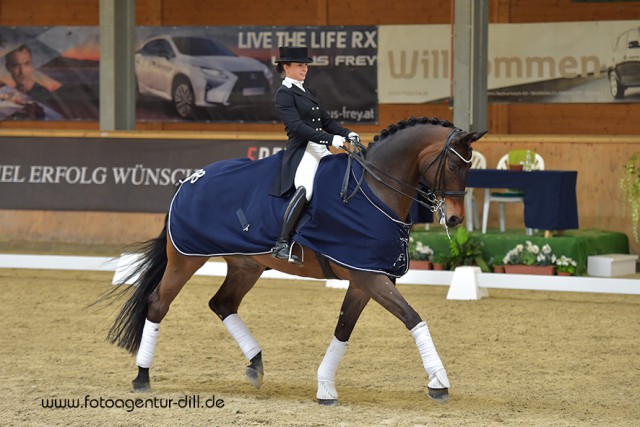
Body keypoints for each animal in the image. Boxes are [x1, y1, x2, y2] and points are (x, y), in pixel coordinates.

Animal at [104, 116, 484, 404]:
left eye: (469, 168)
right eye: (453, 164)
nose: (454, 219)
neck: (373, 190)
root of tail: (189, 180)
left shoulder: (366, 279)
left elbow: (343, 329)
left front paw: (325, 387)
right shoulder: (370, 277)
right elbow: (413, 319)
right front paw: (439, 382)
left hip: (246, 265)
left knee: (222, 303)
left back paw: (255, 365)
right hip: (185, 258)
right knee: (158, 303)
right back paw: (142, 377)